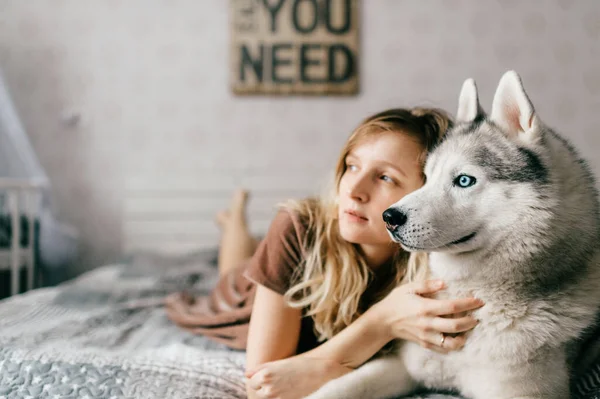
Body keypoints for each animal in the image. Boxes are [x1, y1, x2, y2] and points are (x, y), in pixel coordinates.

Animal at [308, 72, 600, 399]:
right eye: (426, 177)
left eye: (464, 180)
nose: (389, 217)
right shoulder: (406, 365)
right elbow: (333, 389)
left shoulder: (518, 391)